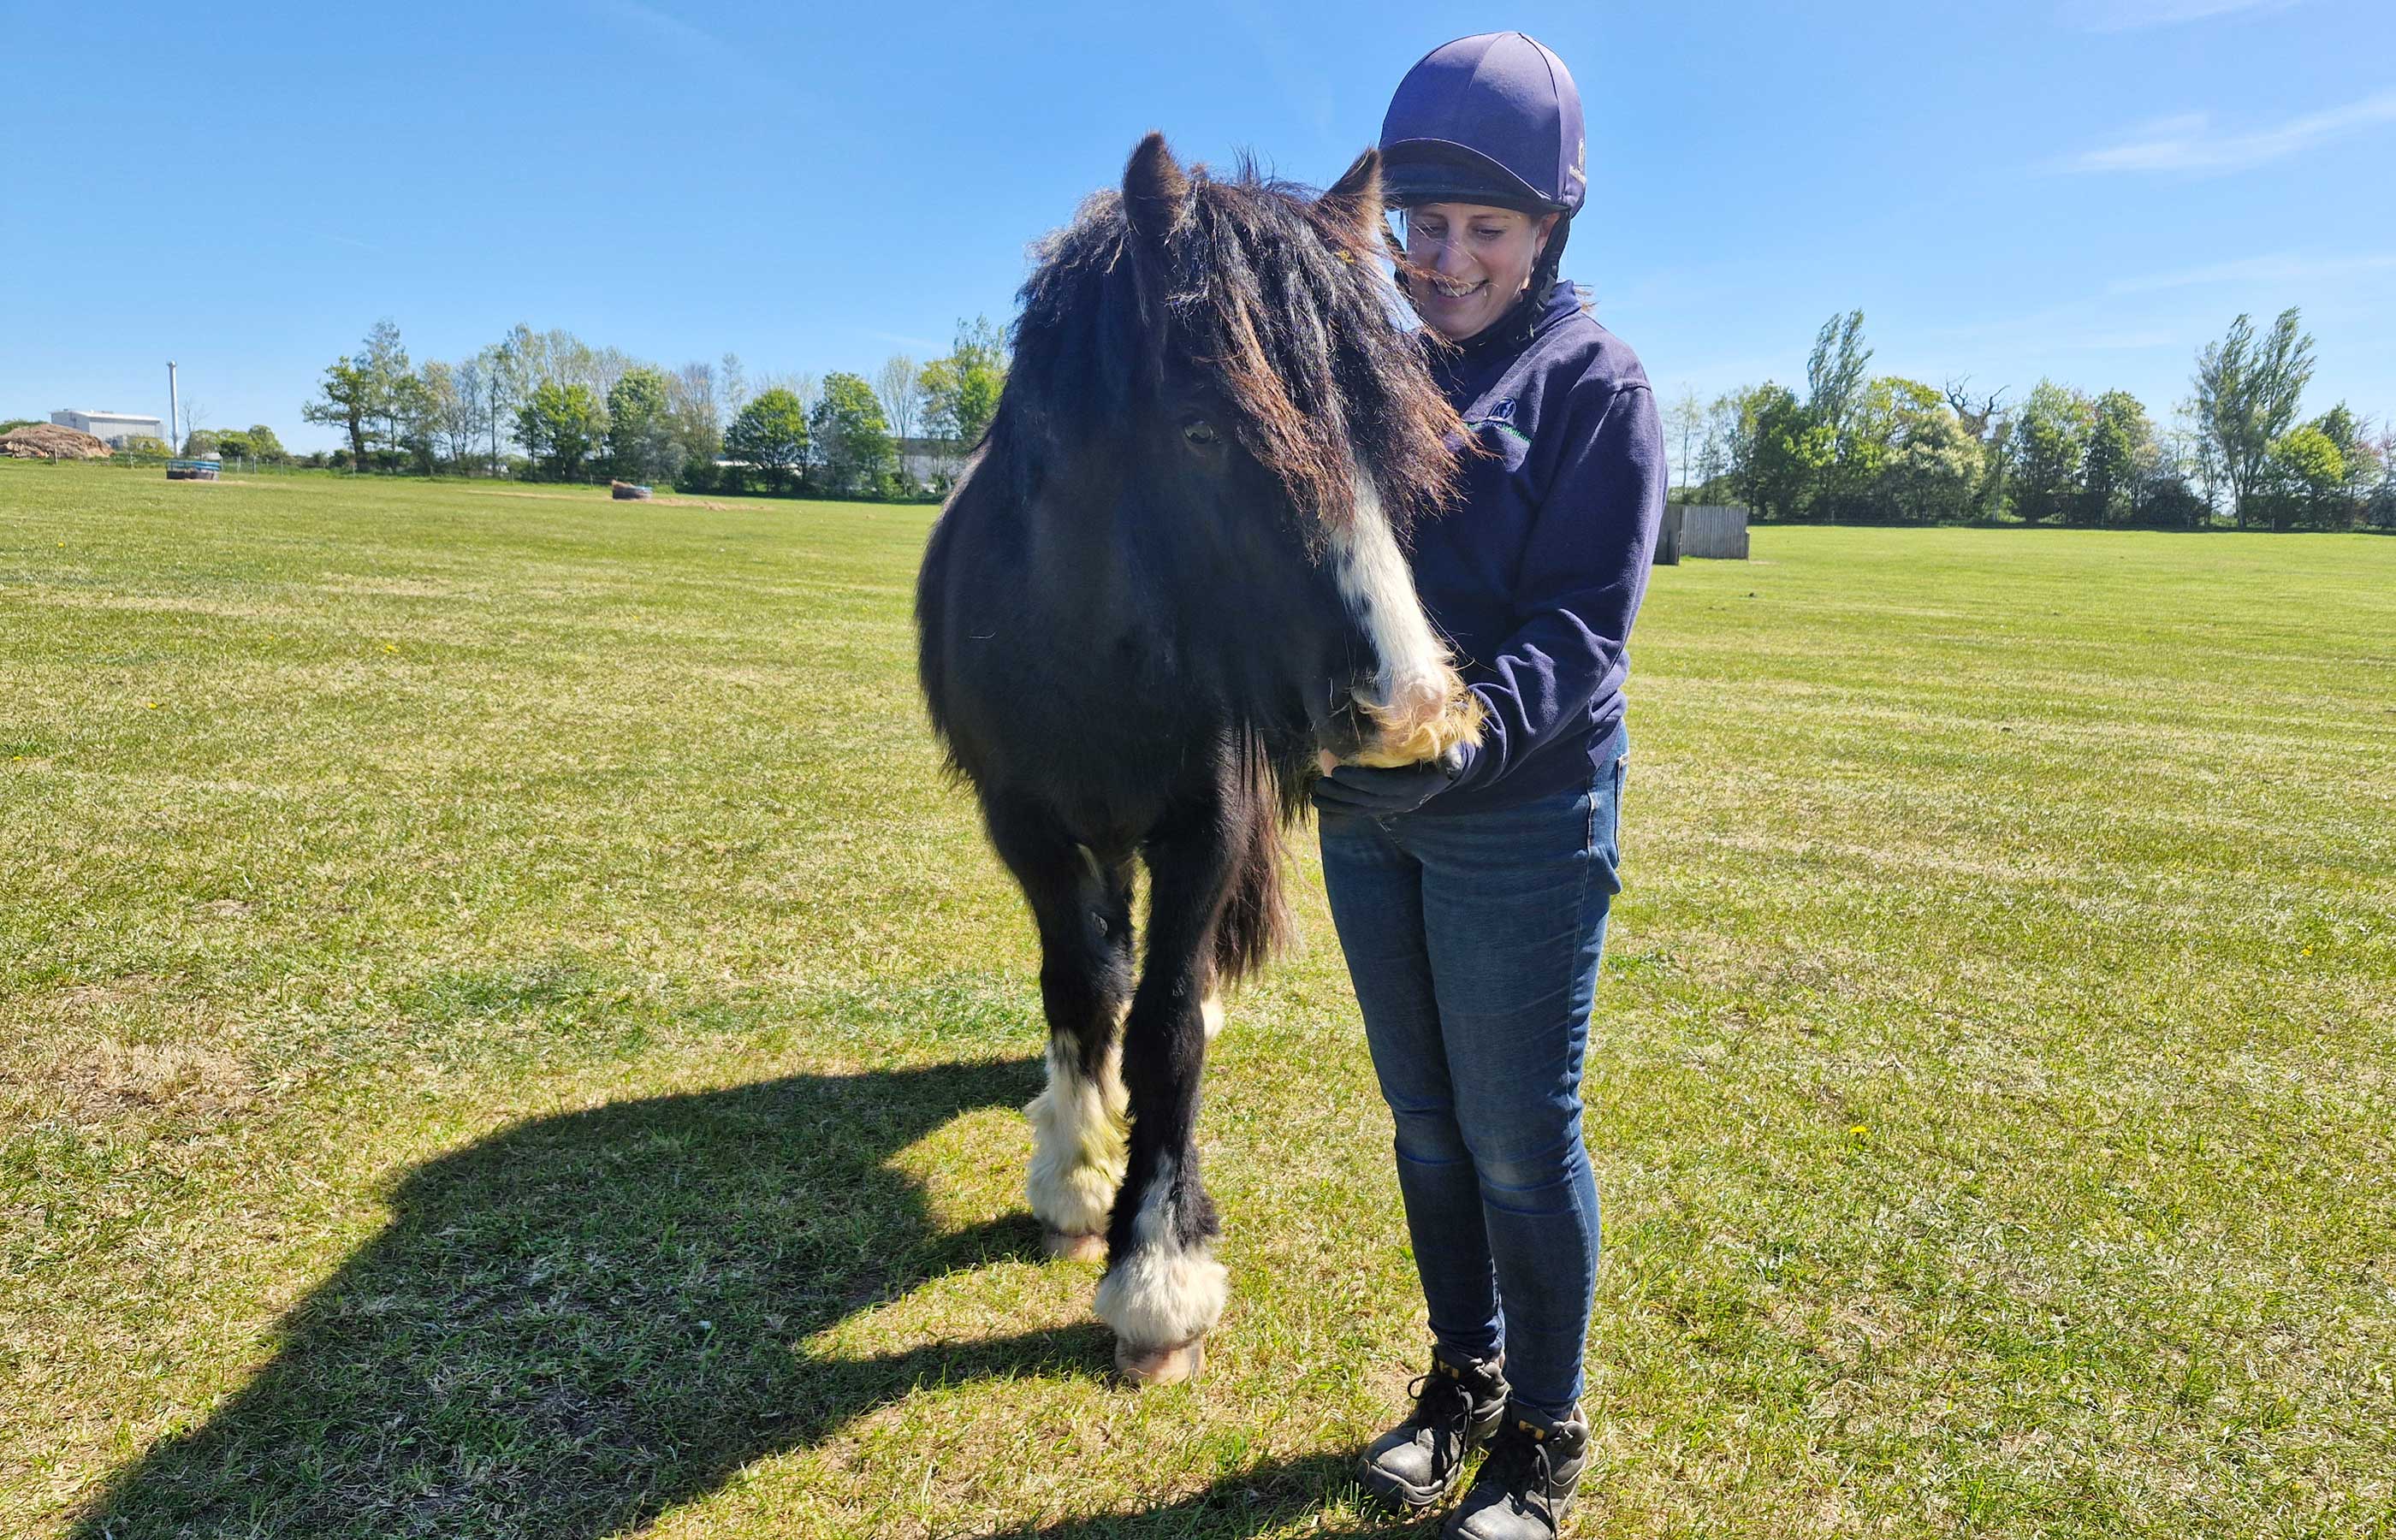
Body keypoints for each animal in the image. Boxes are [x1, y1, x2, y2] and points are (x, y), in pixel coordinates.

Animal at [915, 133, 1483, 1384]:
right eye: (1202, 431)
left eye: (1381, 425)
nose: (1415, 709)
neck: (1085, 645)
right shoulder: (1025, 823)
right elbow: (1081, 982)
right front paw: (1076, 1180)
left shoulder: (1207, 823)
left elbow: (1168, 1020)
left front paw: (1159, 1268)